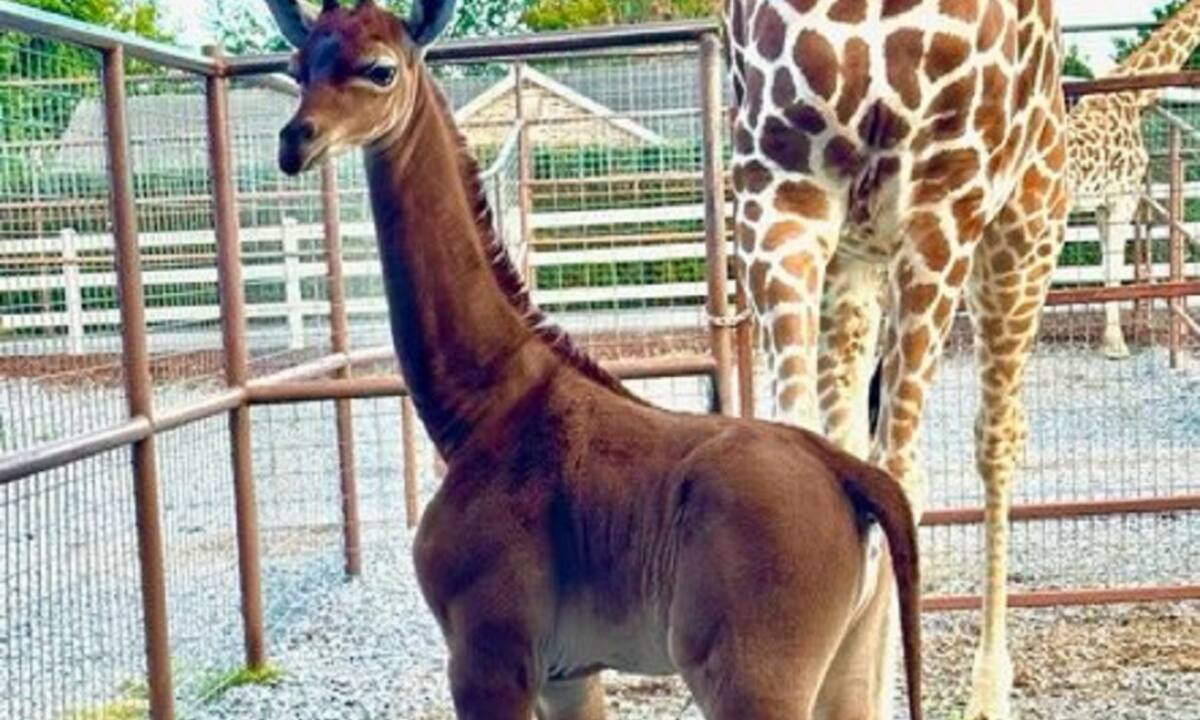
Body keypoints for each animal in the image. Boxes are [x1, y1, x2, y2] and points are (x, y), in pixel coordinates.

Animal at [265, 1, 924, 718]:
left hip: (754, 679)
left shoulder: (488, 656)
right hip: (850, 664)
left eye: (380, 69)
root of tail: (851, 476)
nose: (295, 141)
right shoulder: (566, 671)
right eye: (297, 66)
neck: (482, 408)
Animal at [723, 2, 1070, 719]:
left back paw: (988, 693)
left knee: (996, 438)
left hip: (1025, 233)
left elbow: (902, 478)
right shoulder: (777, 187)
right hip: (858, 261)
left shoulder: (945, 197)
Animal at [1069, 0, 1200, 359]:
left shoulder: (1103, 204)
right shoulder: (1123, 196)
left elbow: (1107, 264)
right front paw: (1115, 345)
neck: (1132, 94)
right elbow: (1115, 266)